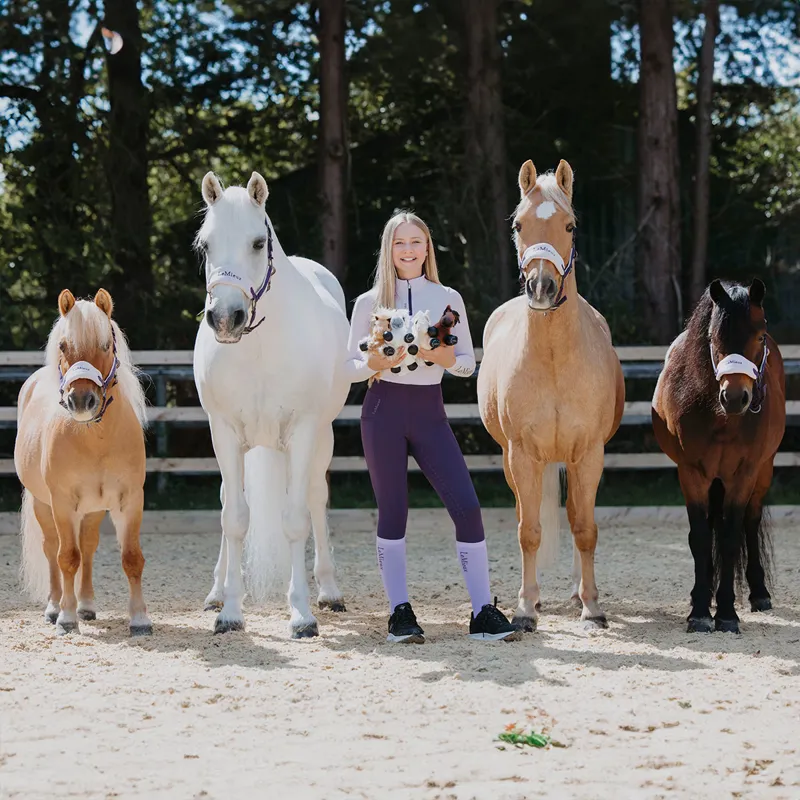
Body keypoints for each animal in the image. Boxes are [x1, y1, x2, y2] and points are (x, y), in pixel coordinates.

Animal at [14, 289, 151, 636]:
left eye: (106, 345)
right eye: (63, 346)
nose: (81, 401)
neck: (95, 438)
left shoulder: (130, 500)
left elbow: (131, 557)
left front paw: (140, 619)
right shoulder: (62, 504)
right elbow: (67, 558)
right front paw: (66, 617)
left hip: (92, 509)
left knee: (88, 546)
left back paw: (86, 605)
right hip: (43, 504)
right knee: (53, 549)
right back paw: (55, 607)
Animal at [193, 171, 350, 637]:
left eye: (258, 242)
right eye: (205, 245)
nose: (225, 319)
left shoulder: (302, 432)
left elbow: (296, 519)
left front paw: (301, 614)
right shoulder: (224, 433)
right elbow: (234, 518)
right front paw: (229, 610)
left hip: (321, 440)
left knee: (315, 497)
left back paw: (329, 591)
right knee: (228, 500)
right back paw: (214, 593)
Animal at [477, 159, 625, 632]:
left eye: (570, 225)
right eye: (518, 225)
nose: (540, 287)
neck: (556, 360)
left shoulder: (589, 454)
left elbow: (585, 527)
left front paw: (592, 605)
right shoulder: (522, 454)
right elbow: (529, 530)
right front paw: (525, 607)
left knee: (579, 516)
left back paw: (577, 590)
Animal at [652, 279, 786, 634]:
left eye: (760, 336)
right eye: (712, 338)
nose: (735, 397)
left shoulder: (744, 475)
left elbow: (729, 537)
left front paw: (726, 612)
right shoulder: (691, 474)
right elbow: (700, 537)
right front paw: (700, 610)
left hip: (763, 472)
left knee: (750, 523)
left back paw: (758, 593)